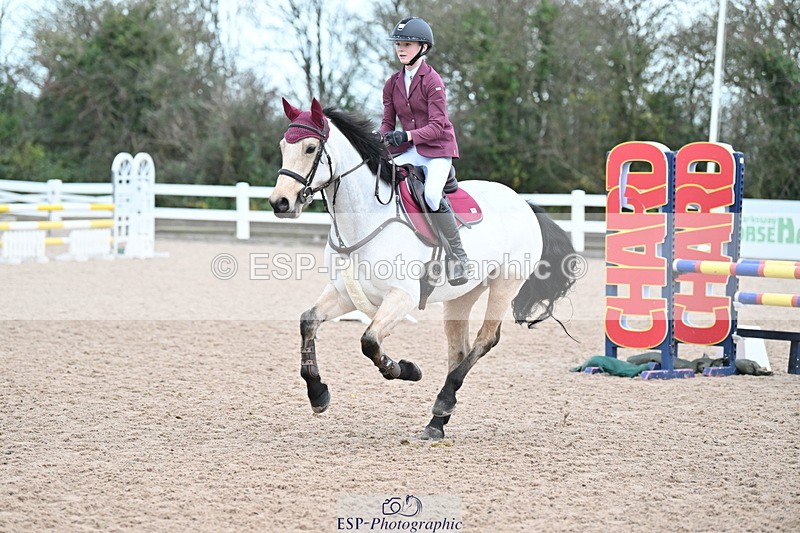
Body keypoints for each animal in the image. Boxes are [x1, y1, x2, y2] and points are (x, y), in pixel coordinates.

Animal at [269, 98, 576, 440]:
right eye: (283, 146)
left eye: (310, 148)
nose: (280, 203)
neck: (363, 219)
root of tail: (524, 203)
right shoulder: (344, 293)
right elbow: (308, 322)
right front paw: (318, 393)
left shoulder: (402, 296)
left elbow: (369, 341)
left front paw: (404, 369)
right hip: (461, 295)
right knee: (459, 350)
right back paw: (437, 422)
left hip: (505, 284)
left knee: (485, 339)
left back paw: (443, 402)